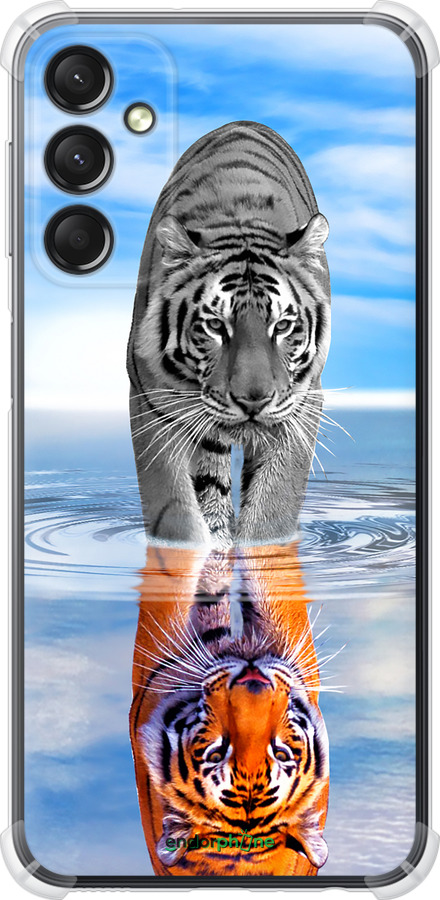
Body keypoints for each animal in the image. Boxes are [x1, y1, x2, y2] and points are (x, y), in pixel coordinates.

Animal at [127, 121, 331, 548]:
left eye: (282, 326)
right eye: (215, 326)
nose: (253, 401)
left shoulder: (302, 404)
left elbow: (273, 508)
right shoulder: (151, 401)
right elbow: (175, 511)